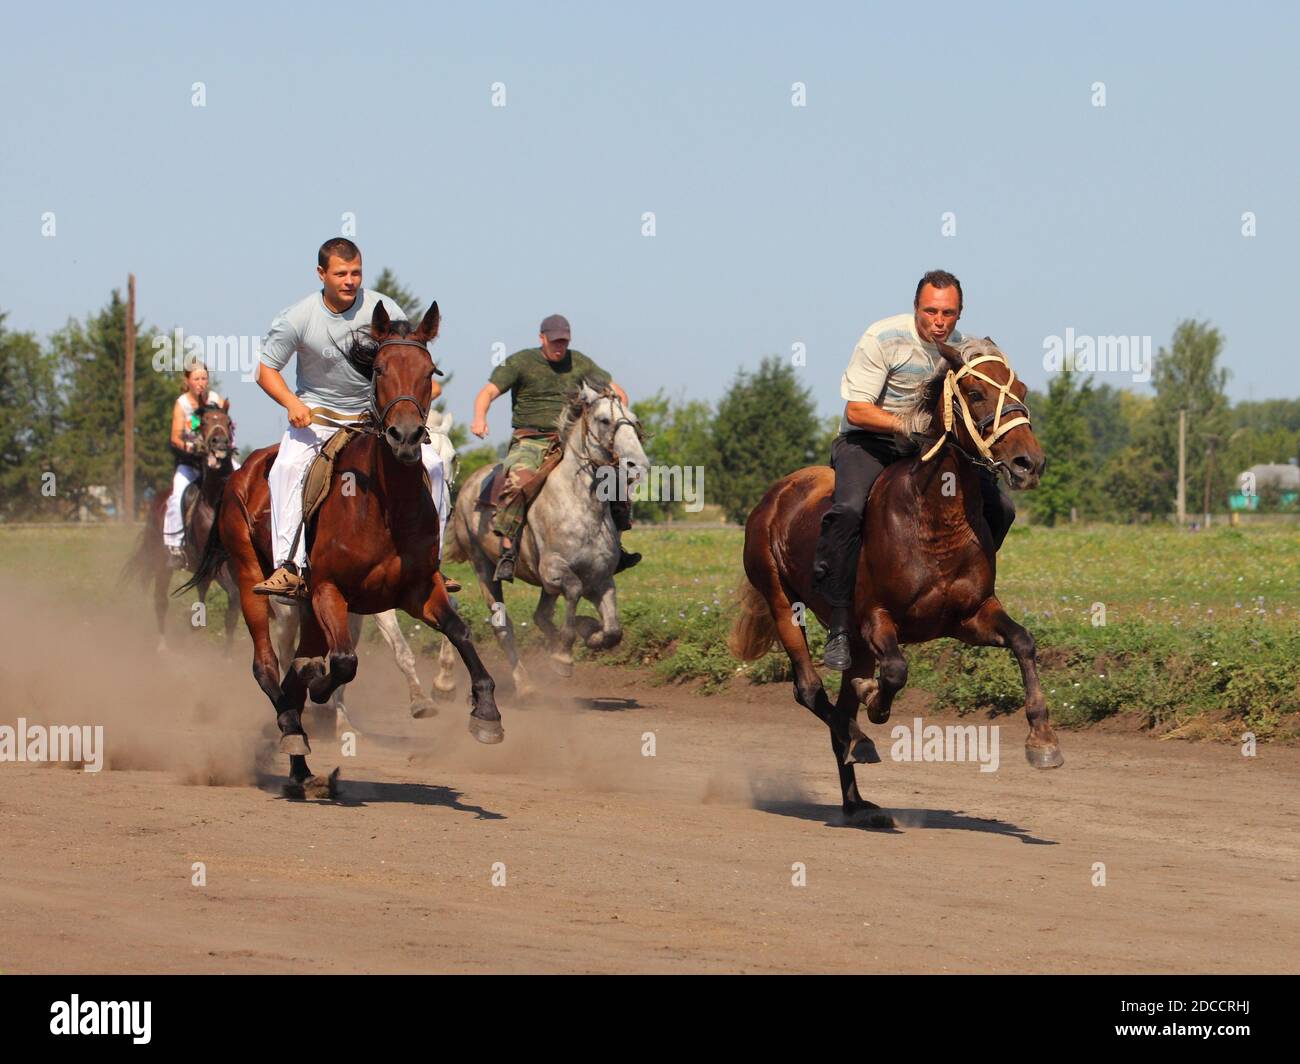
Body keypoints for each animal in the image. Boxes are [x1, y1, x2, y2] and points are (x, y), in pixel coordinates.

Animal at [183, 300, 501, 796]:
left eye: (429, 371)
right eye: (381, 368)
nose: (405, 436)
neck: (384, 506)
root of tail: (240, 474)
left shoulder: (415, 590)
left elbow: (460, 632)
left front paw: (485, 710)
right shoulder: (329, 589)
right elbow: (345, 662)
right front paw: (320, 691)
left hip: (308, 608)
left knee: (294, 666)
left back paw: (301, 761)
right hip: (253, 579)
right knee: (266, 665)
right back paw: (294, 731)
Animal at [728, 335, 1060, 816]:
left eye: (1021, 388)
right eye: (975, 392)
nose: (1027, 463)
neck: (934, 520)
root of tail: (774, 495)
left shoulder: (970, 616)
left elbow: (1023, 641)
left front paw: (1043, 739)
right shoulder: (875, 619)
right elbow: (897, 672)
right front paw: (875, 705)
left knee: (839, 704)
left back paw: (857, 805)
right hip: (782, 601)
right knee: (810, 690)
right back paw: (859, 741)